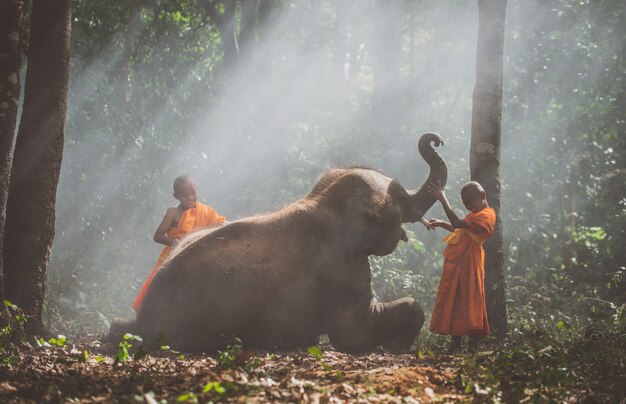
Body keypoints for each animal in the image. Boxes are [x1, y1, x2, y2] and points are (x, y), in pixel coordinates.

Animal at [111, 131, 444, 352]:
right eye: (400, 197)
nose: (434, 140)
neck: (324, 201)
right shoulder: (340, 269)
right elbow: (356, 334)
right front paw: (398, 345)